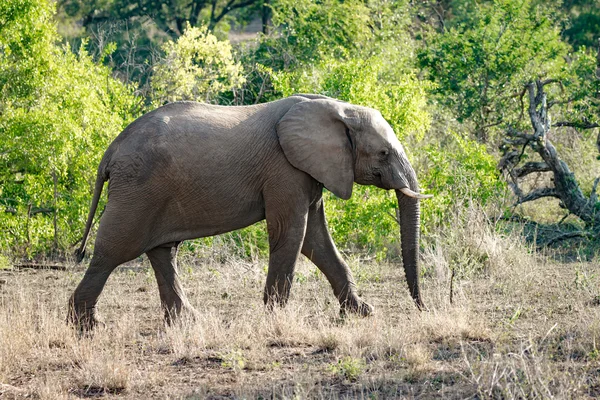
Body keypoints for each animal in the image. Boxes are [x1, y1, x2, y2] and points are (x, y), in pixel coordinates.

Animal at [68, 94, 428, 332]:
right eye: (383, 153)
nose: (422, 307)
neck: (337, 108)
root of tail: (112, 150)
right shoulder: (284, 169)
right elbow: (291, 233)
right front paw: (275, 318)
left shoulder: (309, 170)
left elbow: (316, 241)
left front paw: (363, 312)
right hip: (137, 190)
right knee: (113, 251)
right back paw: (88, 326)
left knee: (162, 252)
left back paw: (189, 323)